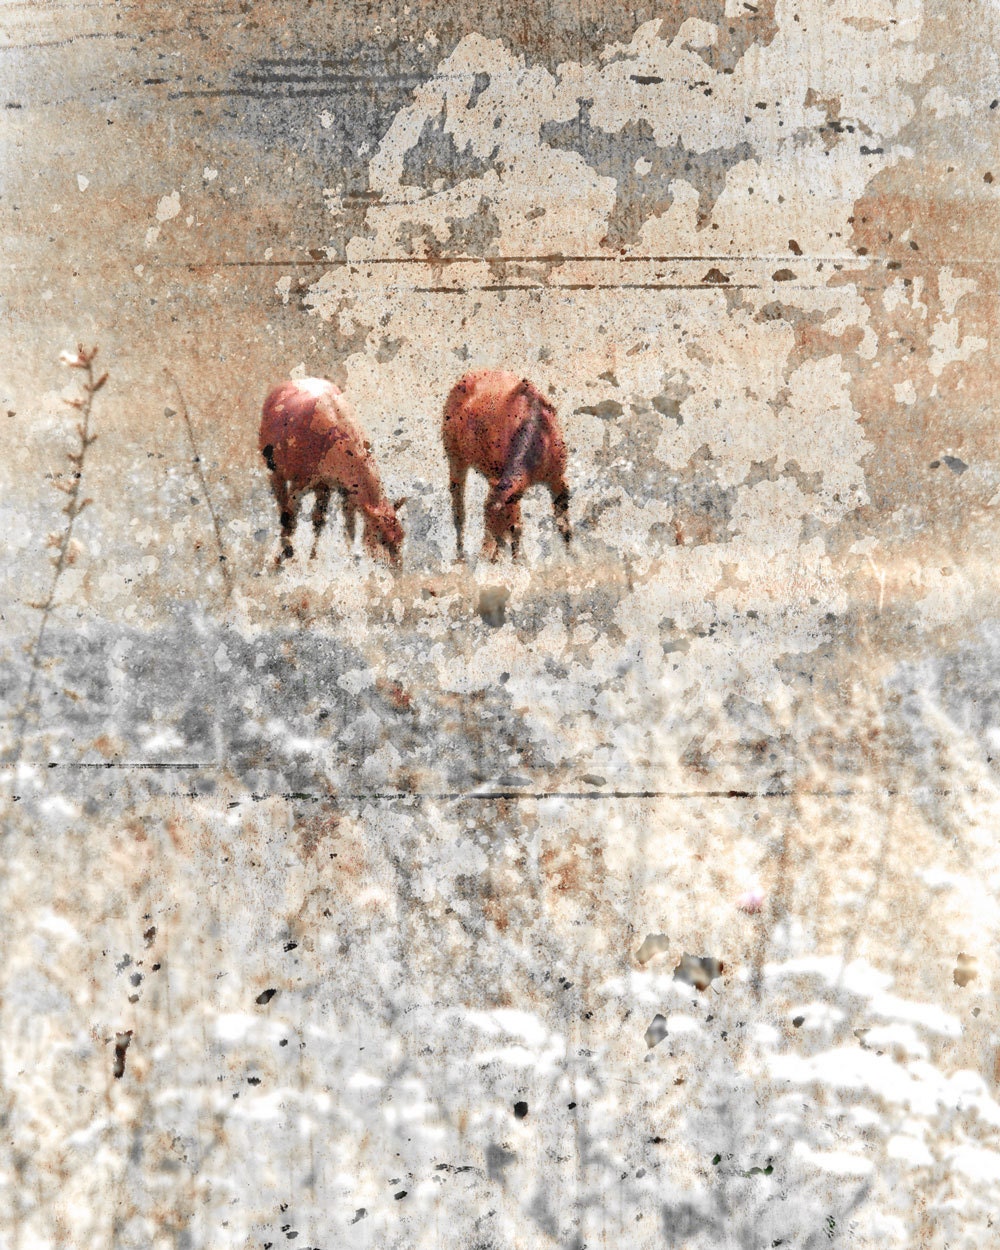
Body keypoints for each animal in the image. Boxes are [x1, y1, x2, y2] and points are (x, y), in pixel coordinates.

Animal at [259, 377, 405, 567]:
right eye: (382, 539)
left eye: (402, 537)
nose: (399, 567)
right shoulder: (301, 483)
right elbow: (289, 517)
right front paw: (281, 557)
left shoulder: (336, 488)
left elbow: (340, 525)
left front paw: (316, 560)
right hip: (276, 473)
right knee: (284, 509)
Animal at [441, 369, 571, 562]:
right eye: (486, 518)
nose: (485, 556)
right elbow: (517, 526)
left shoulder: (557, 480)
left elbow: (563, 524)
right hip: (456, 460)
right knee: (459, 510)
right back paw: (461, 556)